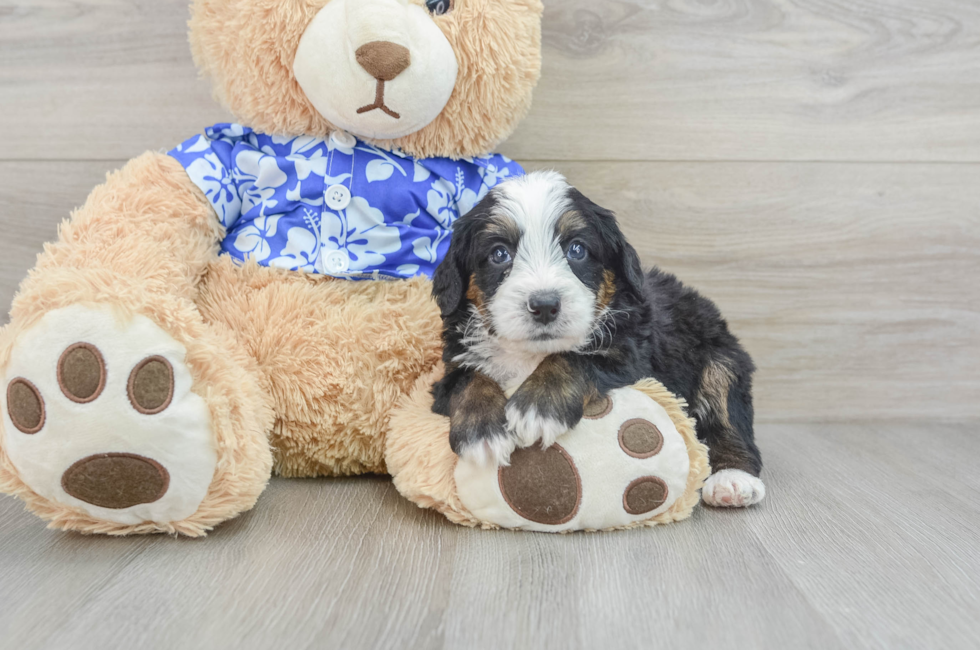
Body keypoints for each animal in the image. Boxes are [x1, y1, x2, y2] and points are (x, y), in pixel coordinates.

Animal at [430, 170, 764, 504]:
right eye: (499, 254)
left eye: (577, 249)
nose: (545, 306)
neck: (531, 355)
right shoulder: (453, 363)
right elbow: (468, 379)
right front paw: (481, 430)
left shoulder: (632, 356)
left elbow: (572, 358)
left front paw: (538, 406)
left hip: (720, 361)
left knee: (728, 419)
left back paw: (733, 479)